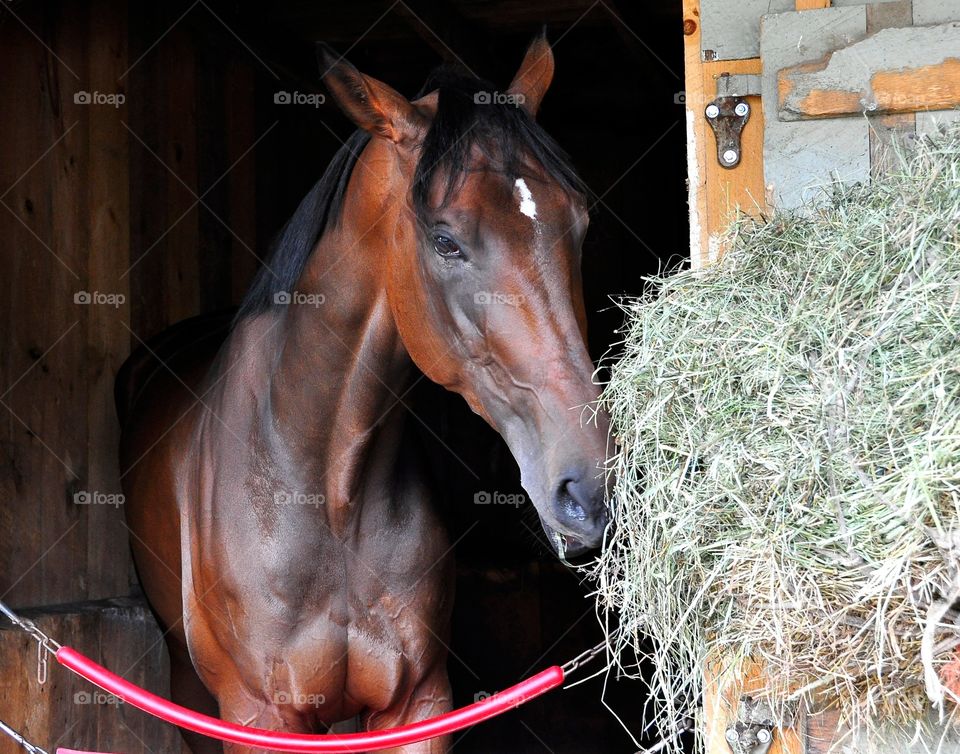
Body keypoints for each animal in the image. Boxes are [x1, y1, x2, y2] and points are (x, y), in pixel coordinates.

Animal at [114, 36, 608, 752]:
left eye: (580, 224)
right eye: (445, 240)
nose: (591, 488)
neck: (326, 491)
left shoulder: (419, 705)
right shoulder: (259, 715)